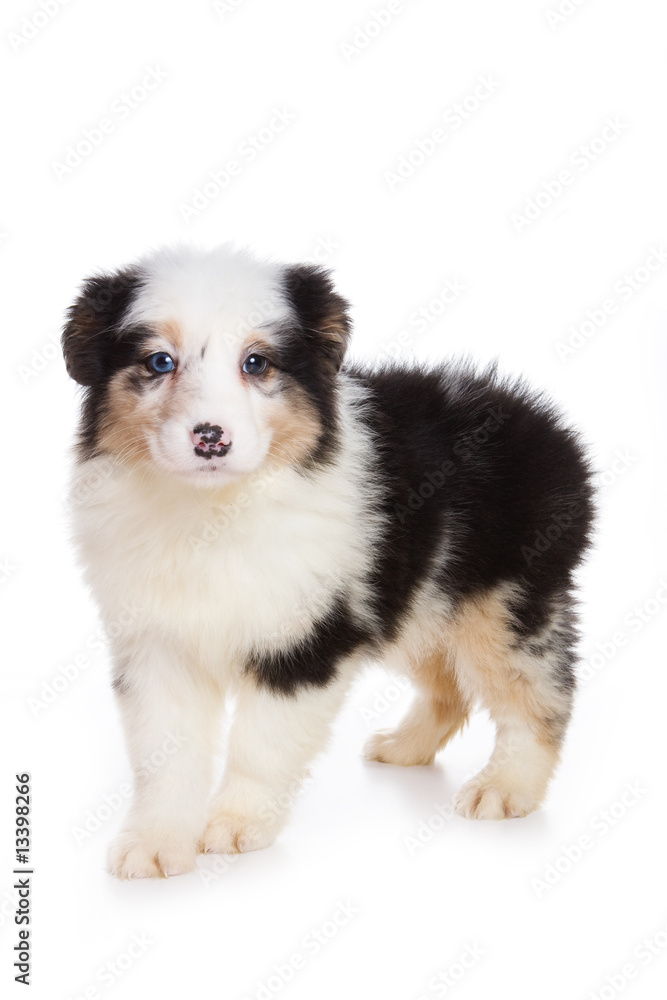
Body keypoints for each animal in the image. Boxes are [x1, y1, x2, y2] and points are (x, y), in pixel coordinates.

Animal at [61, 246, 596, 880]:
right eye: (159, 361)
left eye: (258, 363)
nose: (211, 438)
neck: (215, 509)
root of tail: (545, 425)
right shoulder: (156, 645)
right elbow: (165, 755)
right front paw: (156, 843)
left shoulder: (308, 640)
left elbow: (260, 744)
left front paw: (237, 826)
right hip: (417, 606)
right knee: (451, 686)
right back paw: (405, 747)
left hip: (508, 606)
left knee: (539, 698)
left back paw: (506, 787)